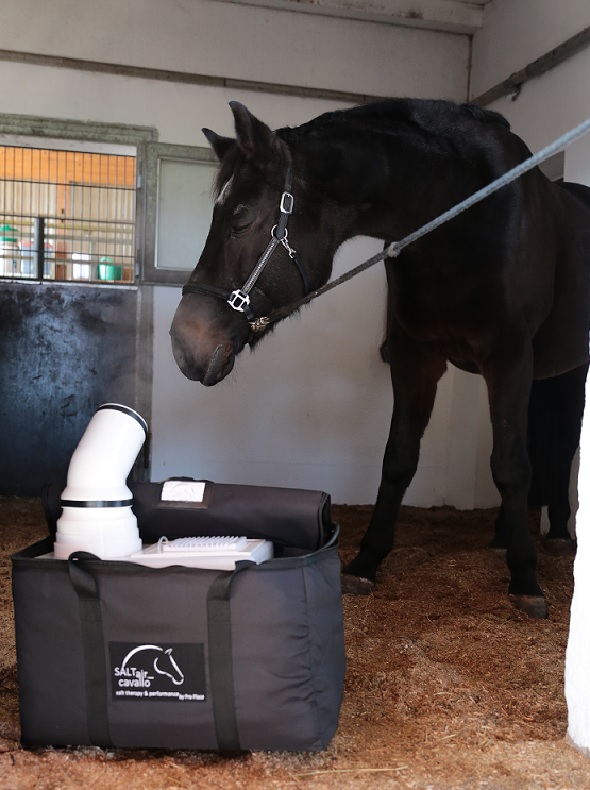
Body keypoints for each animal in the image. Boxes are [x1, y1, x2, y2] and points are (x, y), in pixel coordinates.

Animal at [170, 99, 590, 618]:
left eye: (242, 219)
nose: (184, 343)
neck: (461, 217)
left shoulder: (509, 358)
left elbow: (511, 464)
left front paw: (526, 579)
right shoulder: (415, 358)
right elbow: (398, 458)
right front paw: (366, 561)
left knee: (561, 441)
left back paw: (554, 536)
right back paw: (502, 538)